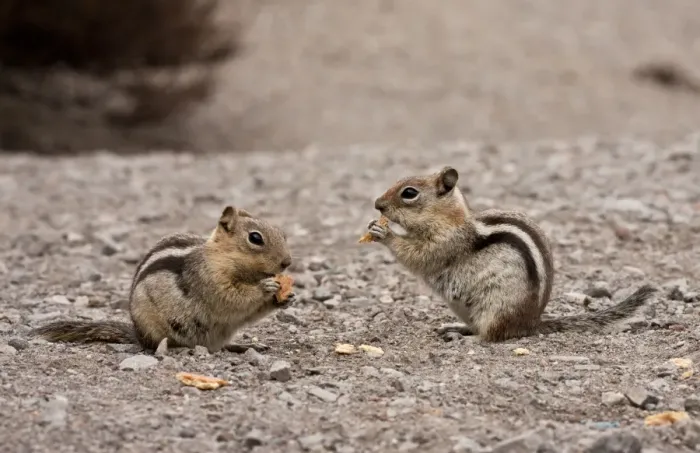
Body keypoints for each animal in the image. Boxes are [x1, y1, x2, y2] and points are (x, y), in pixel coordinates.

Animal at [31, 205, 296, 353]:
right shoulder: (209, 279)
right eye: (255, 238)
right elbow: (232, 297)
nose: (287, 262)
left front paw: (286, 298)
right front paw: (266, 287)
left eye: (283, 234)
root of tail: (137, 334)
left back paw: (244, 346)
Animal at [364, 166, 657, 342]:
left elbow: (418, 256)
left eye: (409, 193)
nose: (377, 204)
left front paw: (384, 234)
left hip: (496, 309)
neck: (450, 219)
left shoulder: (446, 243)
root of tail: (531, 323)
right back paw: (457, 328)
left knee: (492, 335)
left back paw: (468, 338)